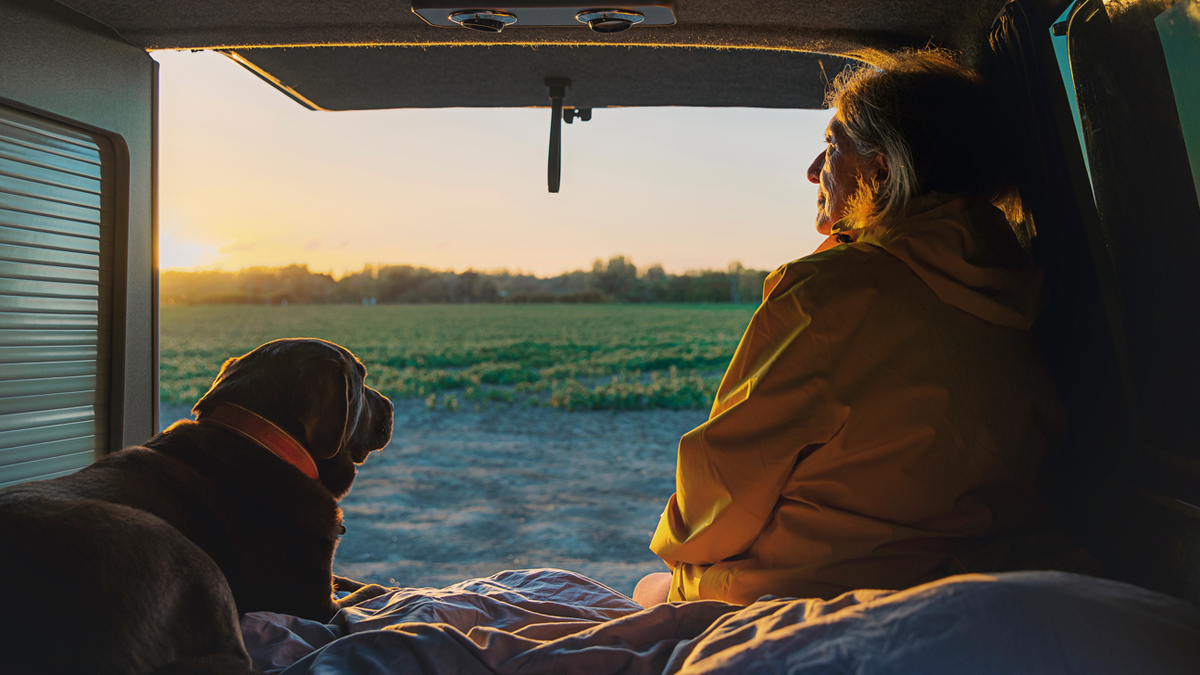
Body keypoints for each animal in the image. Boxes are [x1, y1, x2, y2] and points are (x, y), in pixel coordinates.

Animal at [0, 336, 393, 672]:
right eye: (361, 379)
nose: (390, 405)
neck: (264, 440)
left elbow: (346, 578)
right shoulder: (313, 605)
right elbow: (363, 595)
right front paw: (381, 592)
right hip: (182, 556)